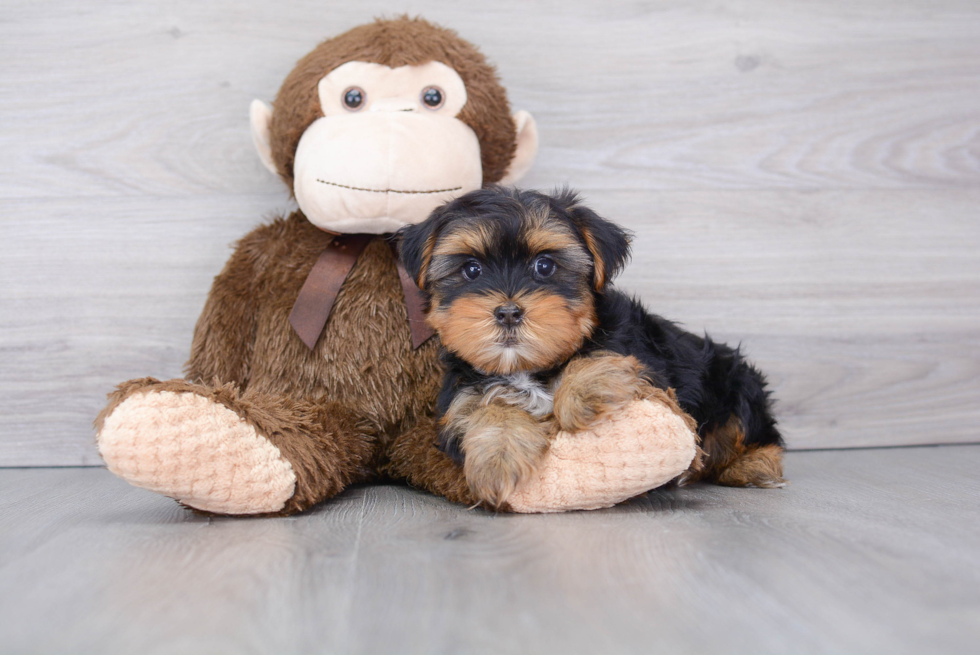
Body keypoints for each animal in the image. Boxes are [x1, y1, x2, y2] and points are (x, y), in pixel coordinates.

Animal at [394, 186, 784, 508]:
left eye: (545, 265)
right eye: (471, 270)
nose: (508, 312)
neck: (525, 368)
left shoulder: (650, 368)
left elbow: (599, 357)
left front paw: (582, 393)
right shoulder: (459, 401)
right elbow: (485, 410)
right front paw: (498, 456)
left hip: (734, 379)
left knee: (752, 429)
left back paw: (755, 465)